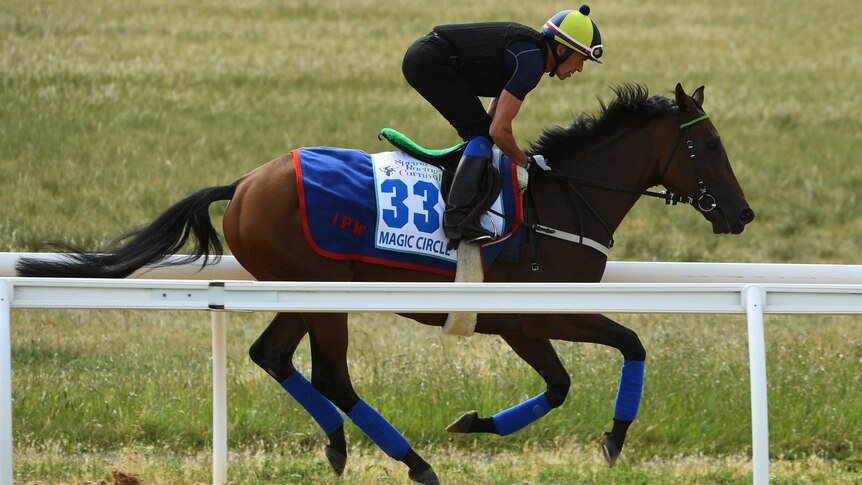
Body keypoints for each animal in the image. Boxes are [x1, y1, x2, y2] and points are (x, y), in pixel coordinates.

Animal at [15, 84, 756, 484]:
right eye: (710, 146)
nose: (742, 213)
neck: (561, 201)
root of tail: (245, 183)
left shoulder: (519, 320)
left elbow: (572, 377)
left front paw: (481, 421)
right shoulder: (534, 313)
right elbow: (619, 350)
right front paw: (613, 437)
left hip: (302, 289)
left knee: (273, 355)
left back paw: (340, 444)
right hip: (324, 291)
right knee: (331, 375)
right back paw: (414, 460)